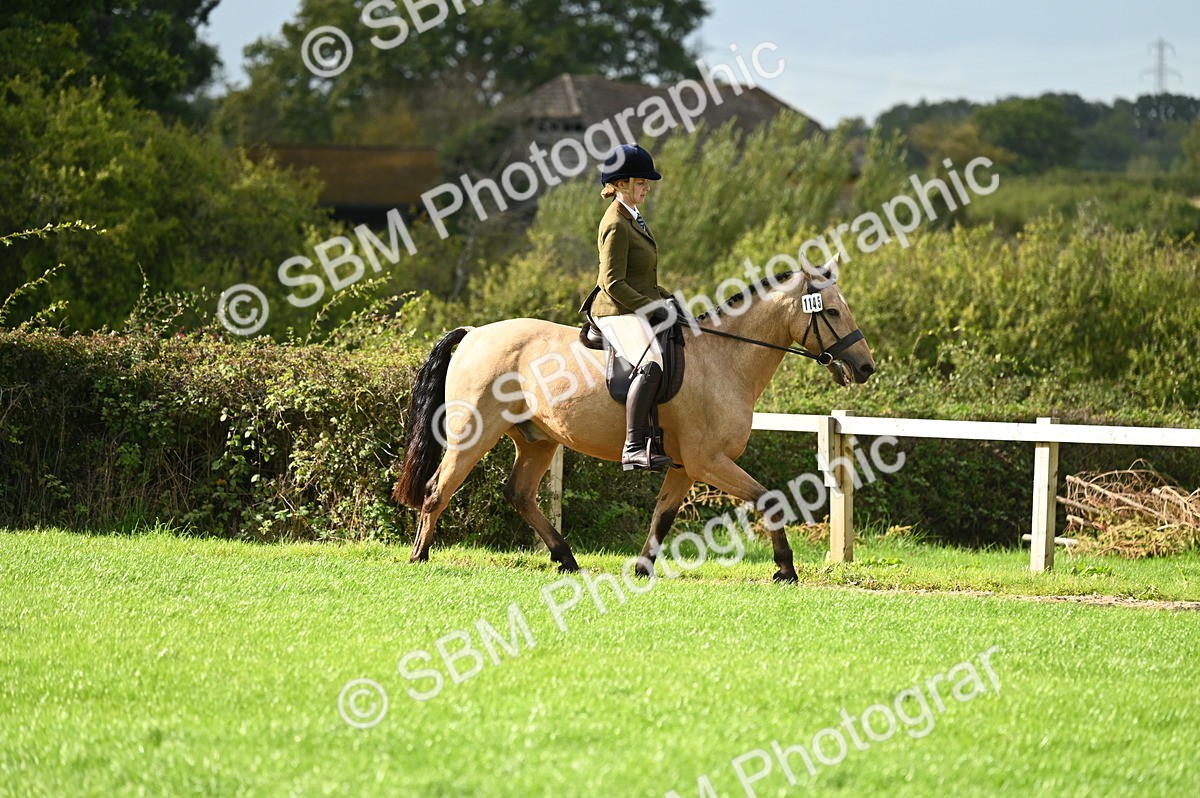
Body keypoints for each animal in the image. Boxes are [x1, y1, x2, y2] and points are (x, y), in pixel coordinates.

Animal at [393, 259, 876, 582]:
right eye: (832, 312)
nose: (865, 367)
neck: (724, 359)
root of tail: (475, 333)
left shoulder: (685, 467)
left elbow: (662, 517)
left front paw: (643, 568)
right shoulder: (708, 462)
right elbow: (769, 498)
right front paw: (785, 569)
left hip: (538, 440)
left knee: (519, 494)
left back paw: (566, 559)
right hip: (473, 434)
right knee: (438, 489)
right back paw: (420, 556)